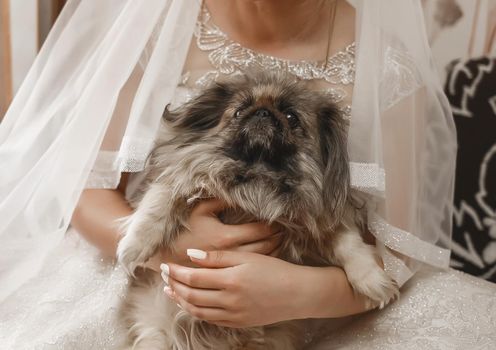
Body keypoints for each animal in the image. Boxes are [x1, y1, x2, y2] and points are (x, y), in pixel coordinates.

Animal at [116, 72, 400, 348]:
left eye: (291, 117)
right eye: (239, 111)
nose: (262, 112)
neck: (258, 174)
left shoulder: (316, 219)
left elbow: (348, 243)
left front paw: (372, 279)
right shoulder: (185, 180)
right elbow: (157, 203)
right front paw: (134, 246)